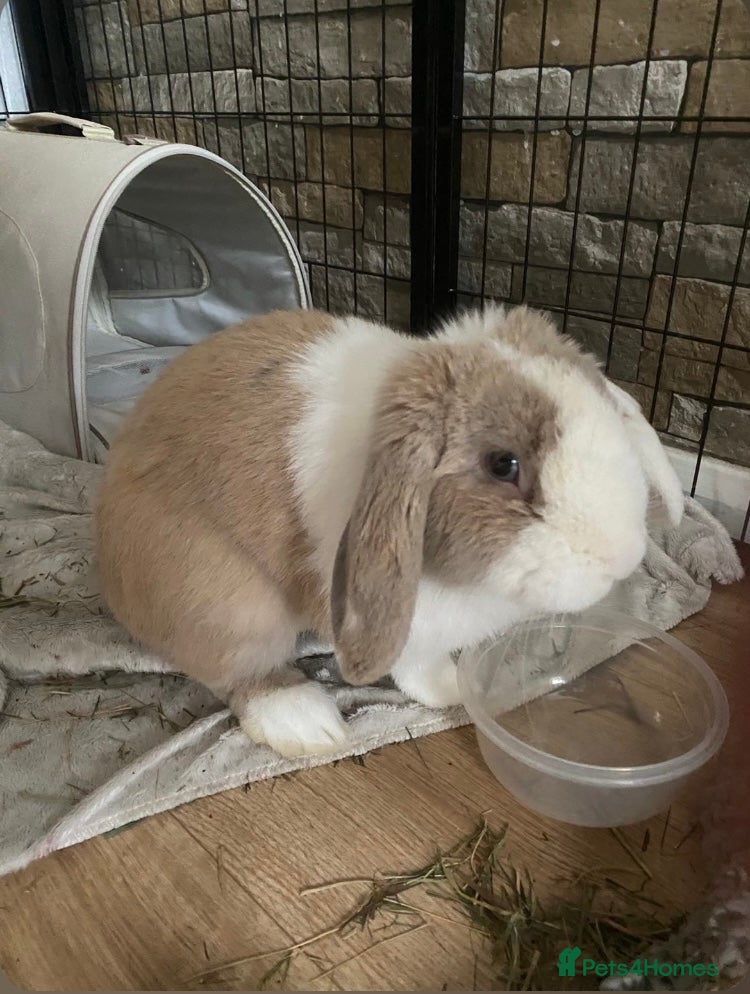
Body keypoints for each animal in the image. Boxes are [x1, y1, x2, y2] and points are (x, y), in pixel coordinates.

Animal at [94, 303, 685, 759]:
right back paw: (308, 724)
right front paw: (452, 690)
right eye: (504, 465)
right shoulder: (412, 626)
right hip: (228, 603)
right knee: (237, 670)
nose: (621, 555)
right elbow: (416, 665)